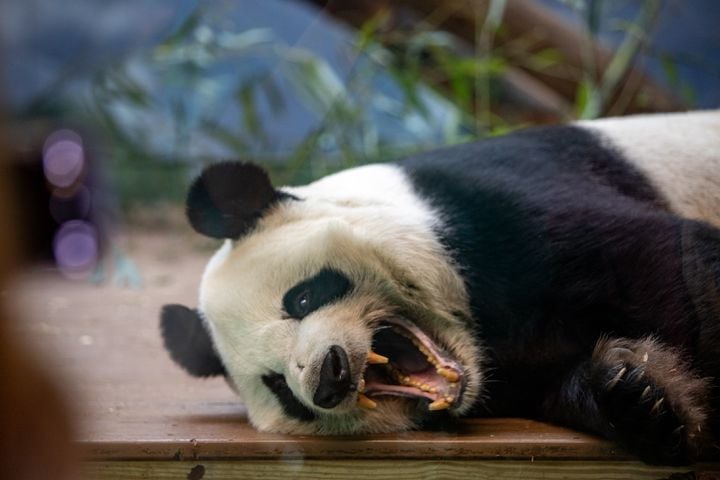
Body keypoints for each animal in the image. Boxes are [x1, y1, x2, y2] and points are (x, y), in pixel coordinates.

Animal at [160, 110, 720, 464]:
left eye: (301, 298)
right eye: (278, 386)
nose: (330, 376)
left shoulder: (506, 211)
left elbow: (670, 261)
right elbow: (568, 386)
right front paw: (642, 398)